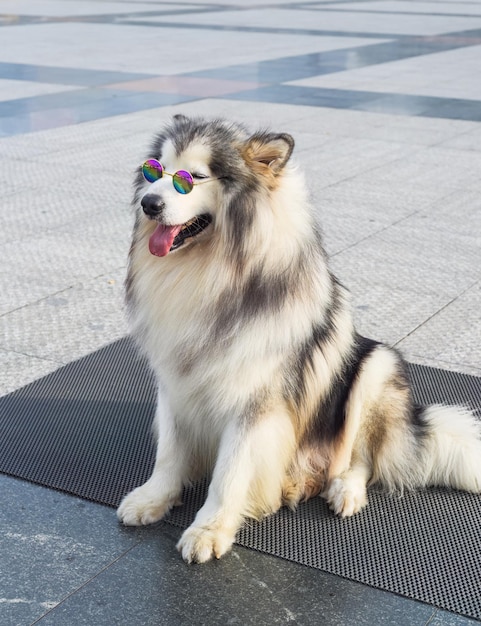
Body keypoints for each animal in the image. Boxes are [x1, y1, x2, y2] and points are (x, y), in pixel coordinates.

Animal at [117, 114, 480, 564]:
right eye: (155, 171)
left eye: (193, 178)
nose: (148, 203)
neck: (210, 272)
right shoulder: (175, 380)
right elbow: (168, 451)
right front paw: (153, 498)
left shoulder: (255, 401)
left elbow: (230, 473)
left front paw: (209, 529)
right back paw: (294, 483)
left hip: (374, 368)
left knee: (361, 457)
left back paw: (343, 489)